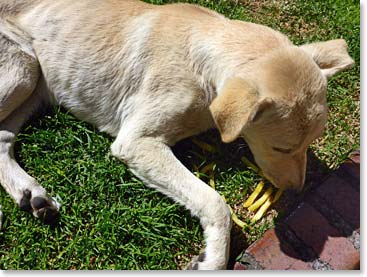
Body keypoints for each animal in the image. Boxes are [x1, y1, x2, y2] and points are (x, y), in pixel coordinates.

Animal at [0, 0, 356, 268]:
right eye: (282, 148)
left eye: (310, 144)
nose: (297, 190)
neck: (201, 59)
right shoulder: (136, 142)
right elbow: (214, 201)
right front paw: (213, 260)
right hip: (24, 67)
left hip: (34, 85)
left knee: (3, 139)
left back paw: (31, 195)